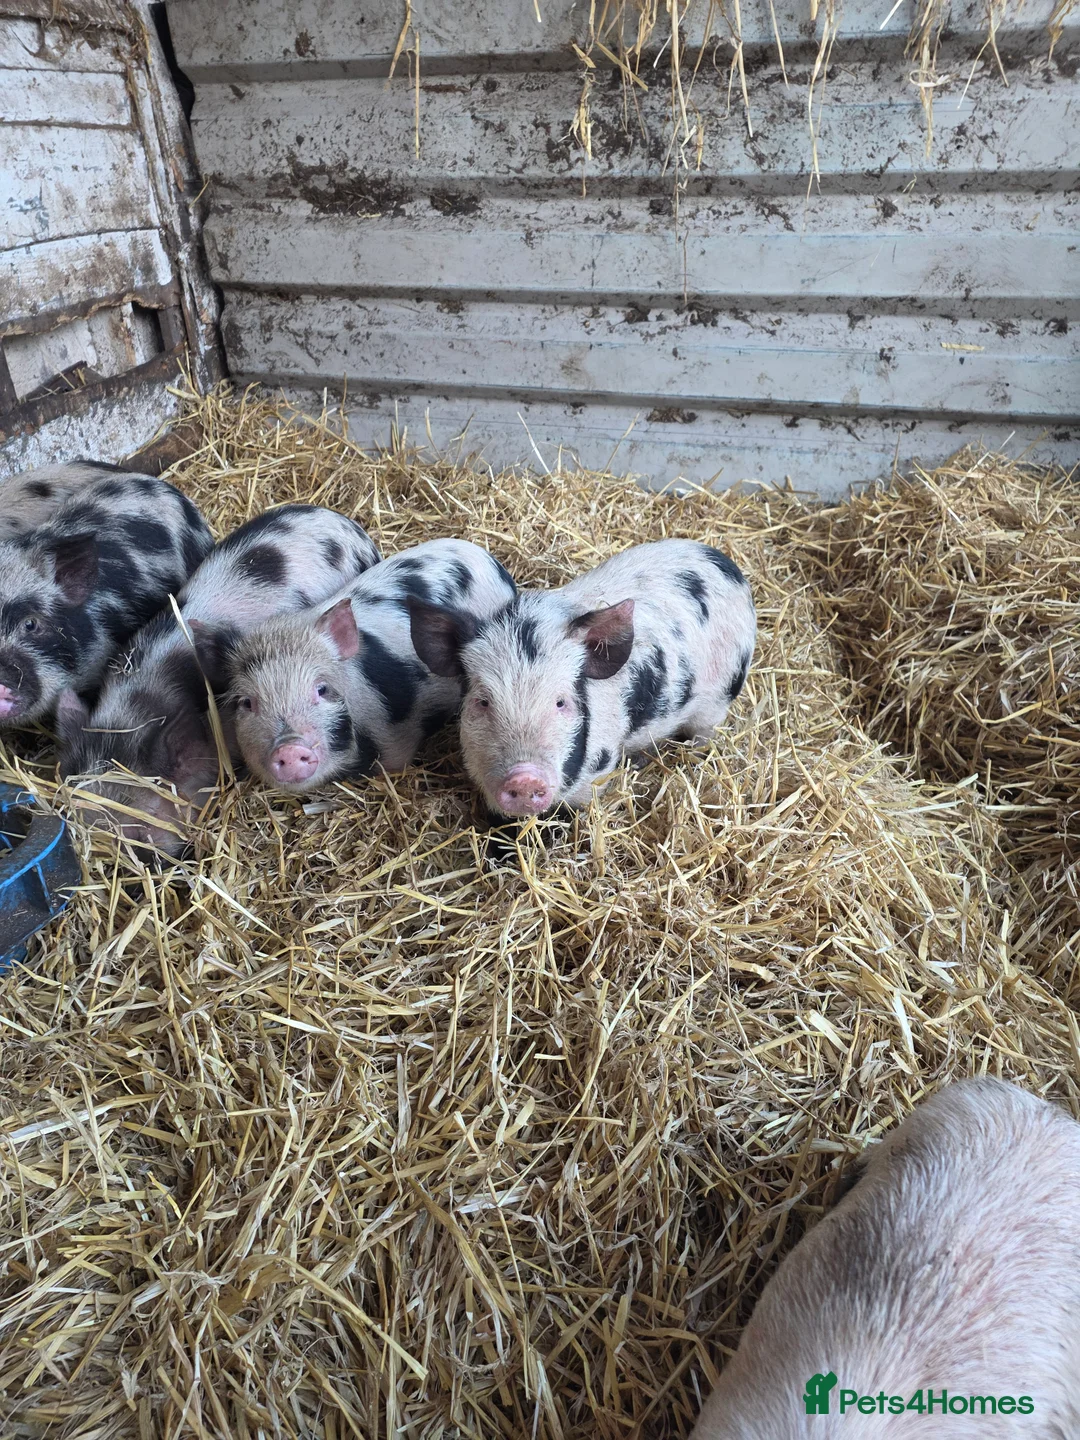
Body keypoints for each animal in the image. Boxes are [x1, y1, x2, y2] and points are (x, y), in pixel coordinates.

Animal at [407, 539, 756, 818]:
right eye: (482, 702)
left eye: (561, 702)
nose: (524, 777)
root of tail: (723, 561)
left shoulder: (596, 772)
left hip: (719, 699)